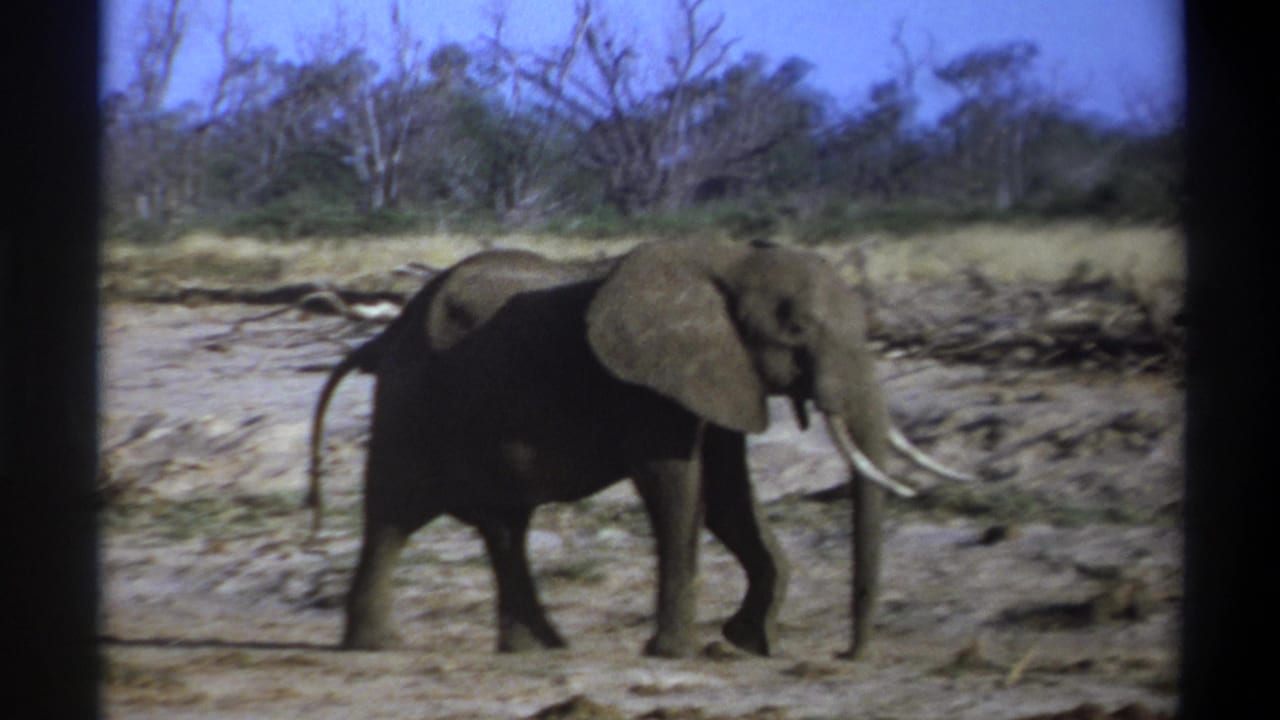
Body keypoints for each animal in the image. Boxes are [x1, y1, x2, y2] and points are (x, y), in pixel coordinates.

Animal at [308, 239, 972, 659]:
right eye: (797, 331)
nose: (848, 656)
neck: (729, 261)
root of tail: (383, 335)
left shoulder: (717, 377)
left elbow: (728, 495)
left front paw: (749, 642)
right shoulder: (650, 386)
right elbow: (677, 485)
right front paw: (677, 653)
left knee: (503, 527)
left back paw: (539, 650)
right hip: (412, 405)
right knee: (394, 515)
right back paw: (377, 648)